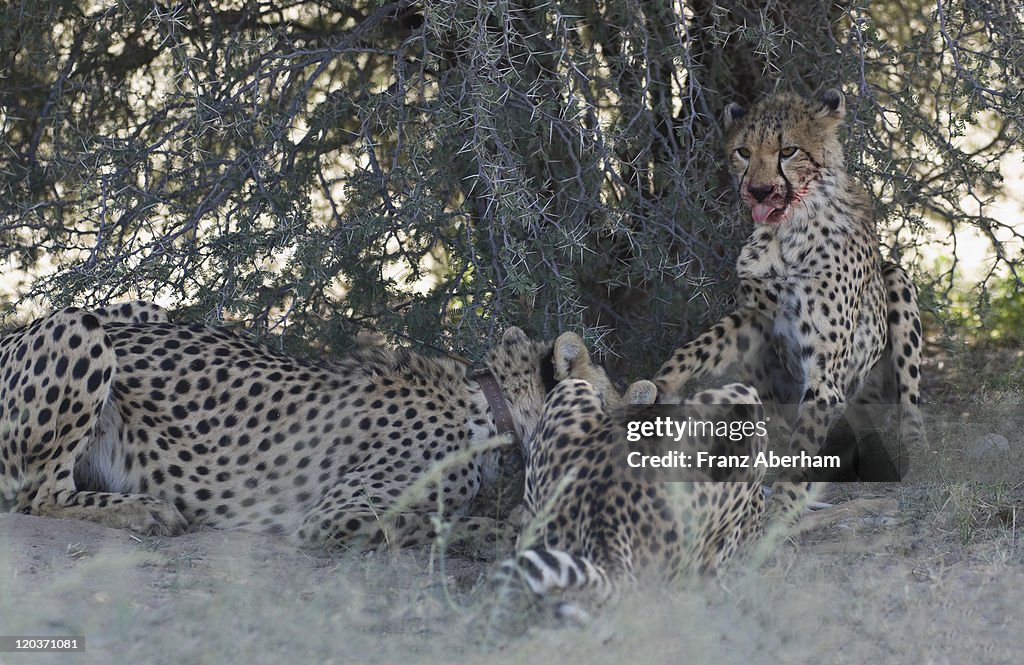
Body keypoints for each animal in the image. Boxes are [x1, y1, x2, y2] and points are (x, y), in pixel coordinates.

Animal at [0, 303, 622, 549]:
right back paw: (144, 510)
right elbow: (442, 523)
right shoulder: (333, 516)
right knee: (37, 495)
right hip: (82, 329)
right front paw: (509, 531)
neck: (491, 406)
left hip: (142, 311)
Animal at [655, 88, 929, 514]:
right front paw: (659, 387)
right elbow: (698, 347)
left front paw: (784, 506)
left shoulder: (826, 377)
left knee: (910, 408)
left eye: (788, 151)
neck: (785, 233)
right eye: (744, 151)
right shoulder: (754, 316)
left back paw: (913, 452)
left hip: (896, 281)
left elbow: (804, 444)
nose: (758, 191)